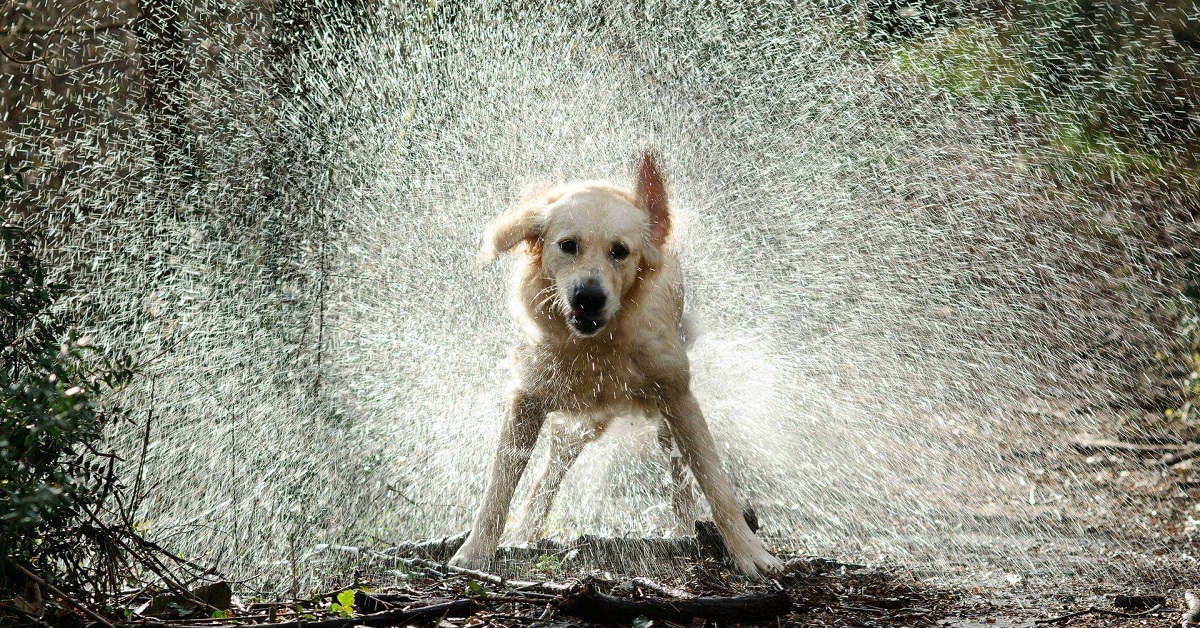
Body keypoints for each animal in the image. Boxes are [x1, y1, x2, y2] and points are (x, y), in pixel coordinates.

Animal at [451, 151, 787, 581]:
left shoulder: (679, 398)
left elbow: (716, 484)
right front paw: (475, 551)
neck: (597, 346)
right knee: (549, 474)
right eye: (568, 245)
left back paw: (684, 527)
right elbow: (499, 484)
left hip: (660, 419)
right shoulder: (526, 399)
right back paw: (527, 530)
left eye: (620, 251)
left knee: (678, 473)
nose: (588, 297)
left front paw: (750, 553)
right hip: (578, 424)